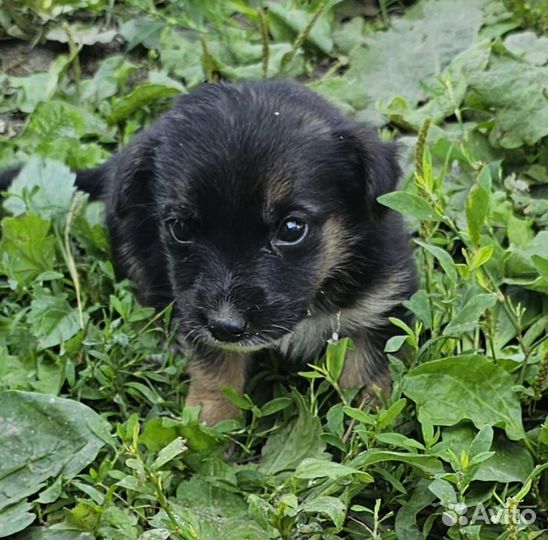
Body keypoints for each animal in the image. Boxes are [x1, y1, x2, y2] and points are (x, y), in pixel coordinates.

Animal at [2, 81, 418, 426]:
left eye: (291, 229)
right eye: (180, 229)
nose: (225, 325)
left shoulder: (379, 307)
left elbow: (366, 376)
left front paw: (367, 427)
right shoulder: (194, 311)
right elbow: (217, 372)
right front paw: (206, 428)